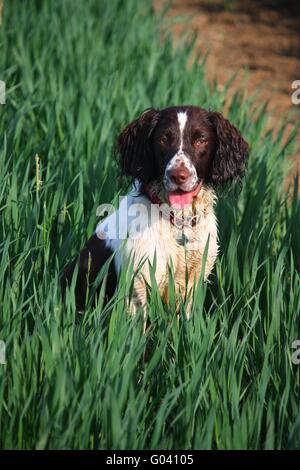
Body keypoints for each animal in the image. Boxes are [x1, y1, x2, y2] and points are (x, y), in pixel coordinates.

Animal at [61, 106, 248, 318]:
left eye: (201, 140)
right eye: (164, 139)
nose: (178, 175)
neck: (178, 222)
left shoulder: (194, 281)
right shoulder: (138, 287)